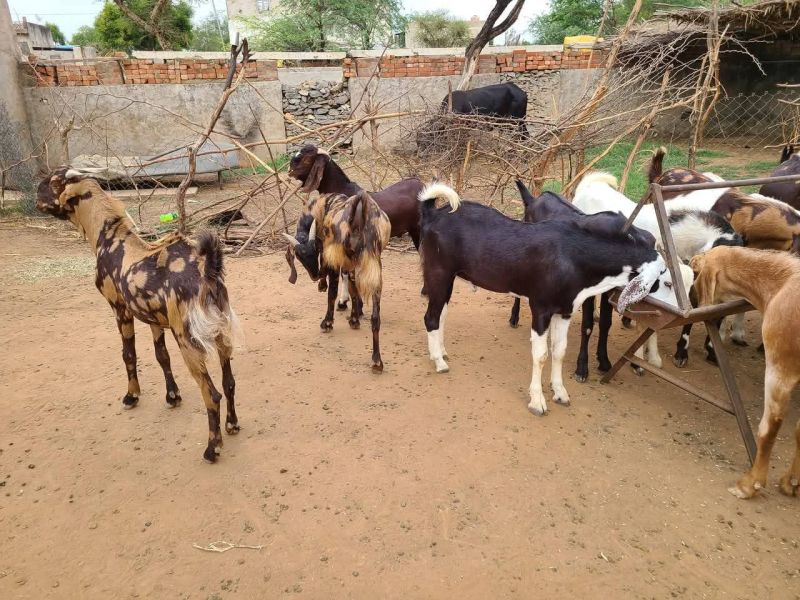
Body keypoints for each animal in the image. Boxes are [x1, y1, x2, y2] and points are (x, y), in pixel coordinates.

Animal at [36, 169, 241, 464]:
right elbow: (161, 357)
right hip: (222, 334)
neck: (110, 238)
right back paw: (232, 424)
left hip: (188, 341)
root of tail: (208, 272)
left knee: (212, 395)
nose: (35, 192)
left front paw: (132, 396)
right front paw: (172, 396)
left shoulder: (119, 310)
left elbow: (128, 355)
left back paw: (212, 448)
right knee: (229, 383)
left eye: (53, 182)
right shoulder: (154, 321)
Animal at [284, 191, 390, 370]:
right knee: (375, 315)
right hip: (373, 266)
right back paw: (376, 360)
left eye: (315, 249)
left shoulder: (333, 258)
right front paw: (354, 317)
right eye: (298, 255)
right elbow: (353, 291)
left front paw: (328, 322)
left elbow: (333, 293)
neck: (321, 206)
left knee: (335, 292)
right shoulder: (346, 263)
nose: (315, 275)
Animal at [418, 184, 680, 418]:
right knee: (430, 317)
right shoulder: (541, 309)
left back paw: (441, 352)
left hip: (449, 277)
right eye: (664, 278)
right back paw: (439, 362)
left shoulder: (564, 310)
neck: (575, 258)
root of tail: (433, 213)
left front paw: (560, 392)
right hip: (438, 272)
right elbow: (541, 355)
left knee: (441, 314)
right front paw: (537, 401)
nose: (675, 314)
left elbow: (559, 351)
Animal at [692, 246, 800, 500]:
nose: (692, 298)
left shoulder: (781, 369)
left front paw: (750, 484)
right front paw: (791, 482)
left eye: (696, 271)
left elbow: (768, 428)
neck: (780, 286)